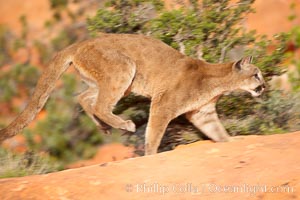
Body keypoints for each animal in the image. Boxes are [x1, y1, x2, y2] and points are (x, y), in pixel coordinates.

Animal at [0, 33, 268, 155]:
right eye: (257, 75)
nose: (265, 86)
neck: (217, 81)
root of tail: (79, 43)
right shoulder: (164, 104)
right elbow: (154, 132)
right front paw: (150, 155)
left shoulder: (203, 113)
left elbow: (218, 132)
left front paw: (229, 144)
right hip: (123, 69)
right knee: (100, 105)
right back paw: (125, 125)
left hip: (107, 81)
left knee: (85, 99)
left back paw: (104, 127)